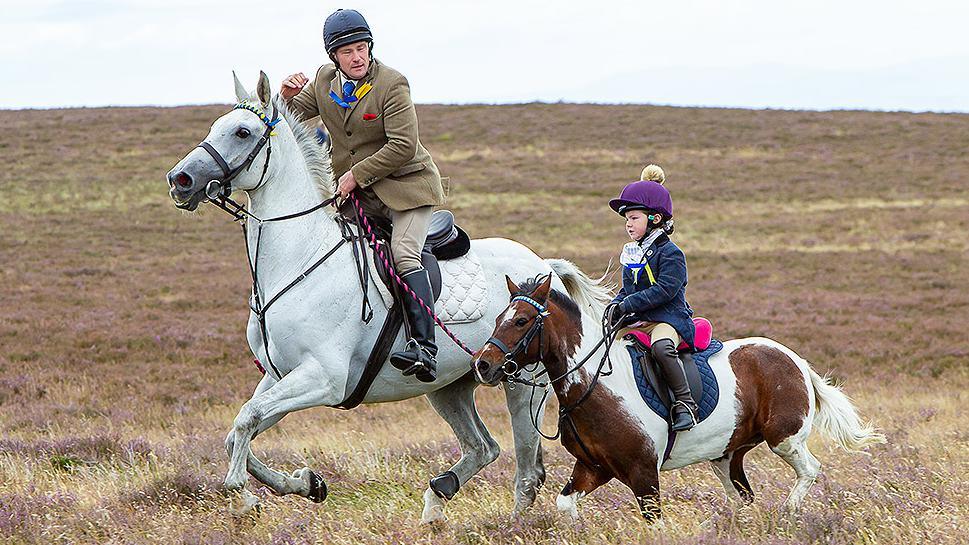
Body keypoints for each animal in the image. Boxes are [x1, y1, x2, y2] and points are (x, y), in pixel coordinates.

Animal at [163, 71, 608, 520]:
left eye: (242, 132)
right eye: (214, 126)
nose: (180, 180)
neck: (301, 260)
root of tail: (544, 267)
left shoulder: (323, 378)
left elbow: (245, 420)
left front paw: (241, 493)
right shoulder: (279, 376)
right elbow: (240, 431)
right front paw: (306, 484)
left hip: (522, 384)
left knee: (526, 469)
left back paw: (513, 524)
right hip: (451, 385)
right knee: (483, 447)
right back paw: (436, 500)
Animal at [468, 274, 884, 520]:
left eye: (521, 321)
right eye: (497, 319)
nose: (483, 366)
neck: (594, 387)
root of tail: (794, 358)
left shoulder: (643, 474)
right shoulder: (592, 468)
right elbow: (565, 503)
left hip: (784, 439)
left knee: (809, 470)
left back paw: (787, 513)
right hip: (726, 457)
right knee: (743, 498)